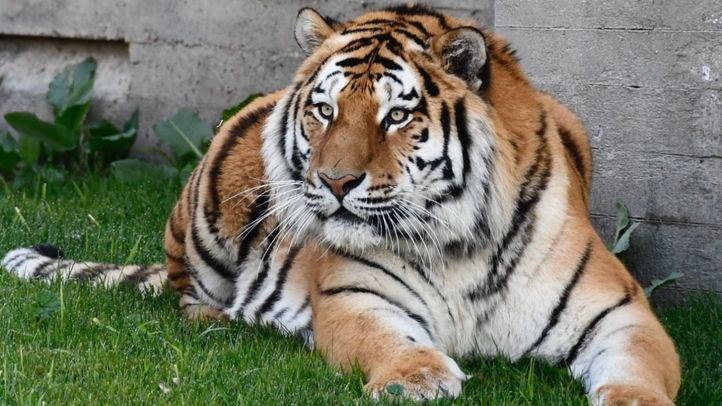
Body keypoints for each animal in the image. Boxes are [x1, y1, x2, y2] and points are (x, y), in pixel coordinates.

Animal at [2, 4, 680, 404]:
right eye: (325, 110)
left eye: (397, 116)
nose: (334, 182)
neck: (459, 244)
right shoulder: (356, 296)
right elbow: (389, 342)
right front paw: (418, 378)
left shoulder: (621, 312)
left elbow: (640, 368)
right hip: (206, 217)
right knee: (185, 294)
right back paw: (225, 322)